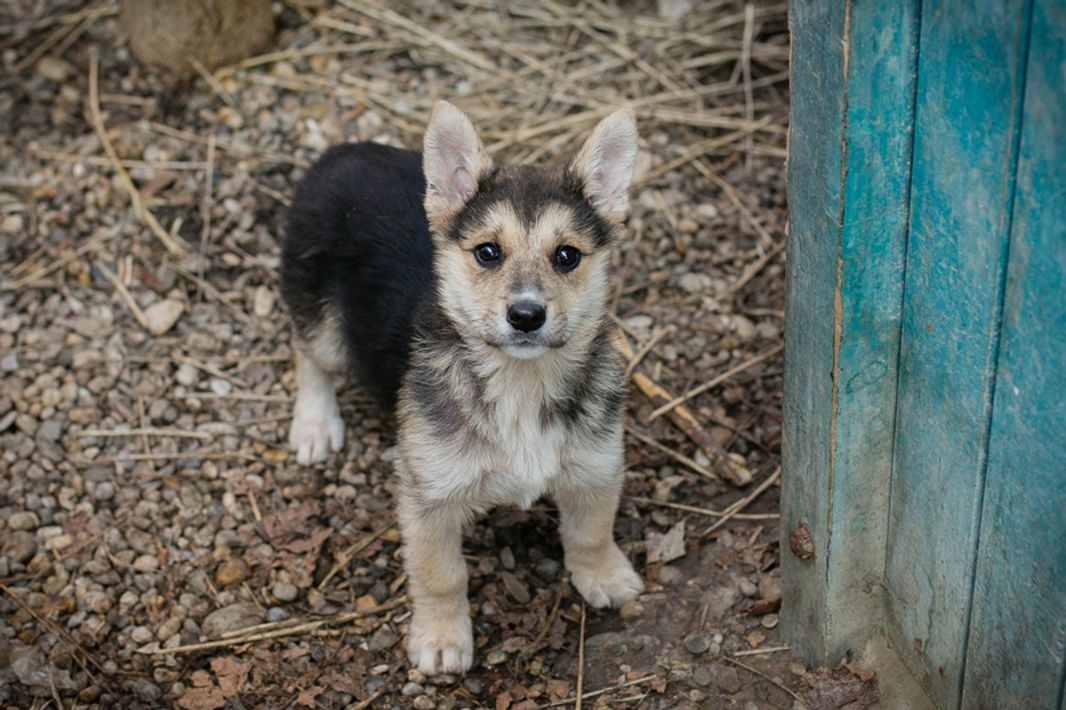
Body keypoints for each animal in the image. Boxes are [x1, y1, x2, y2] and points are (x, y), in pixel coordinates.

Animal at [280, 101, 643, 675]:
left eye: (566, 256)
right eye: (488, 252)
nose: (526, 316)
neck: (519, 383)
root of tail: (344, 150)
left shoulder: (596, 466)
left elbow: (591, 532)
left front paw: (604, 575)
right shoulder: (428, 495)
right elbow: (440, 575)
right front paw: (442, 638)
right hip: (321, 318)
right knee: (308, 356)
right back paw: (315, 425)